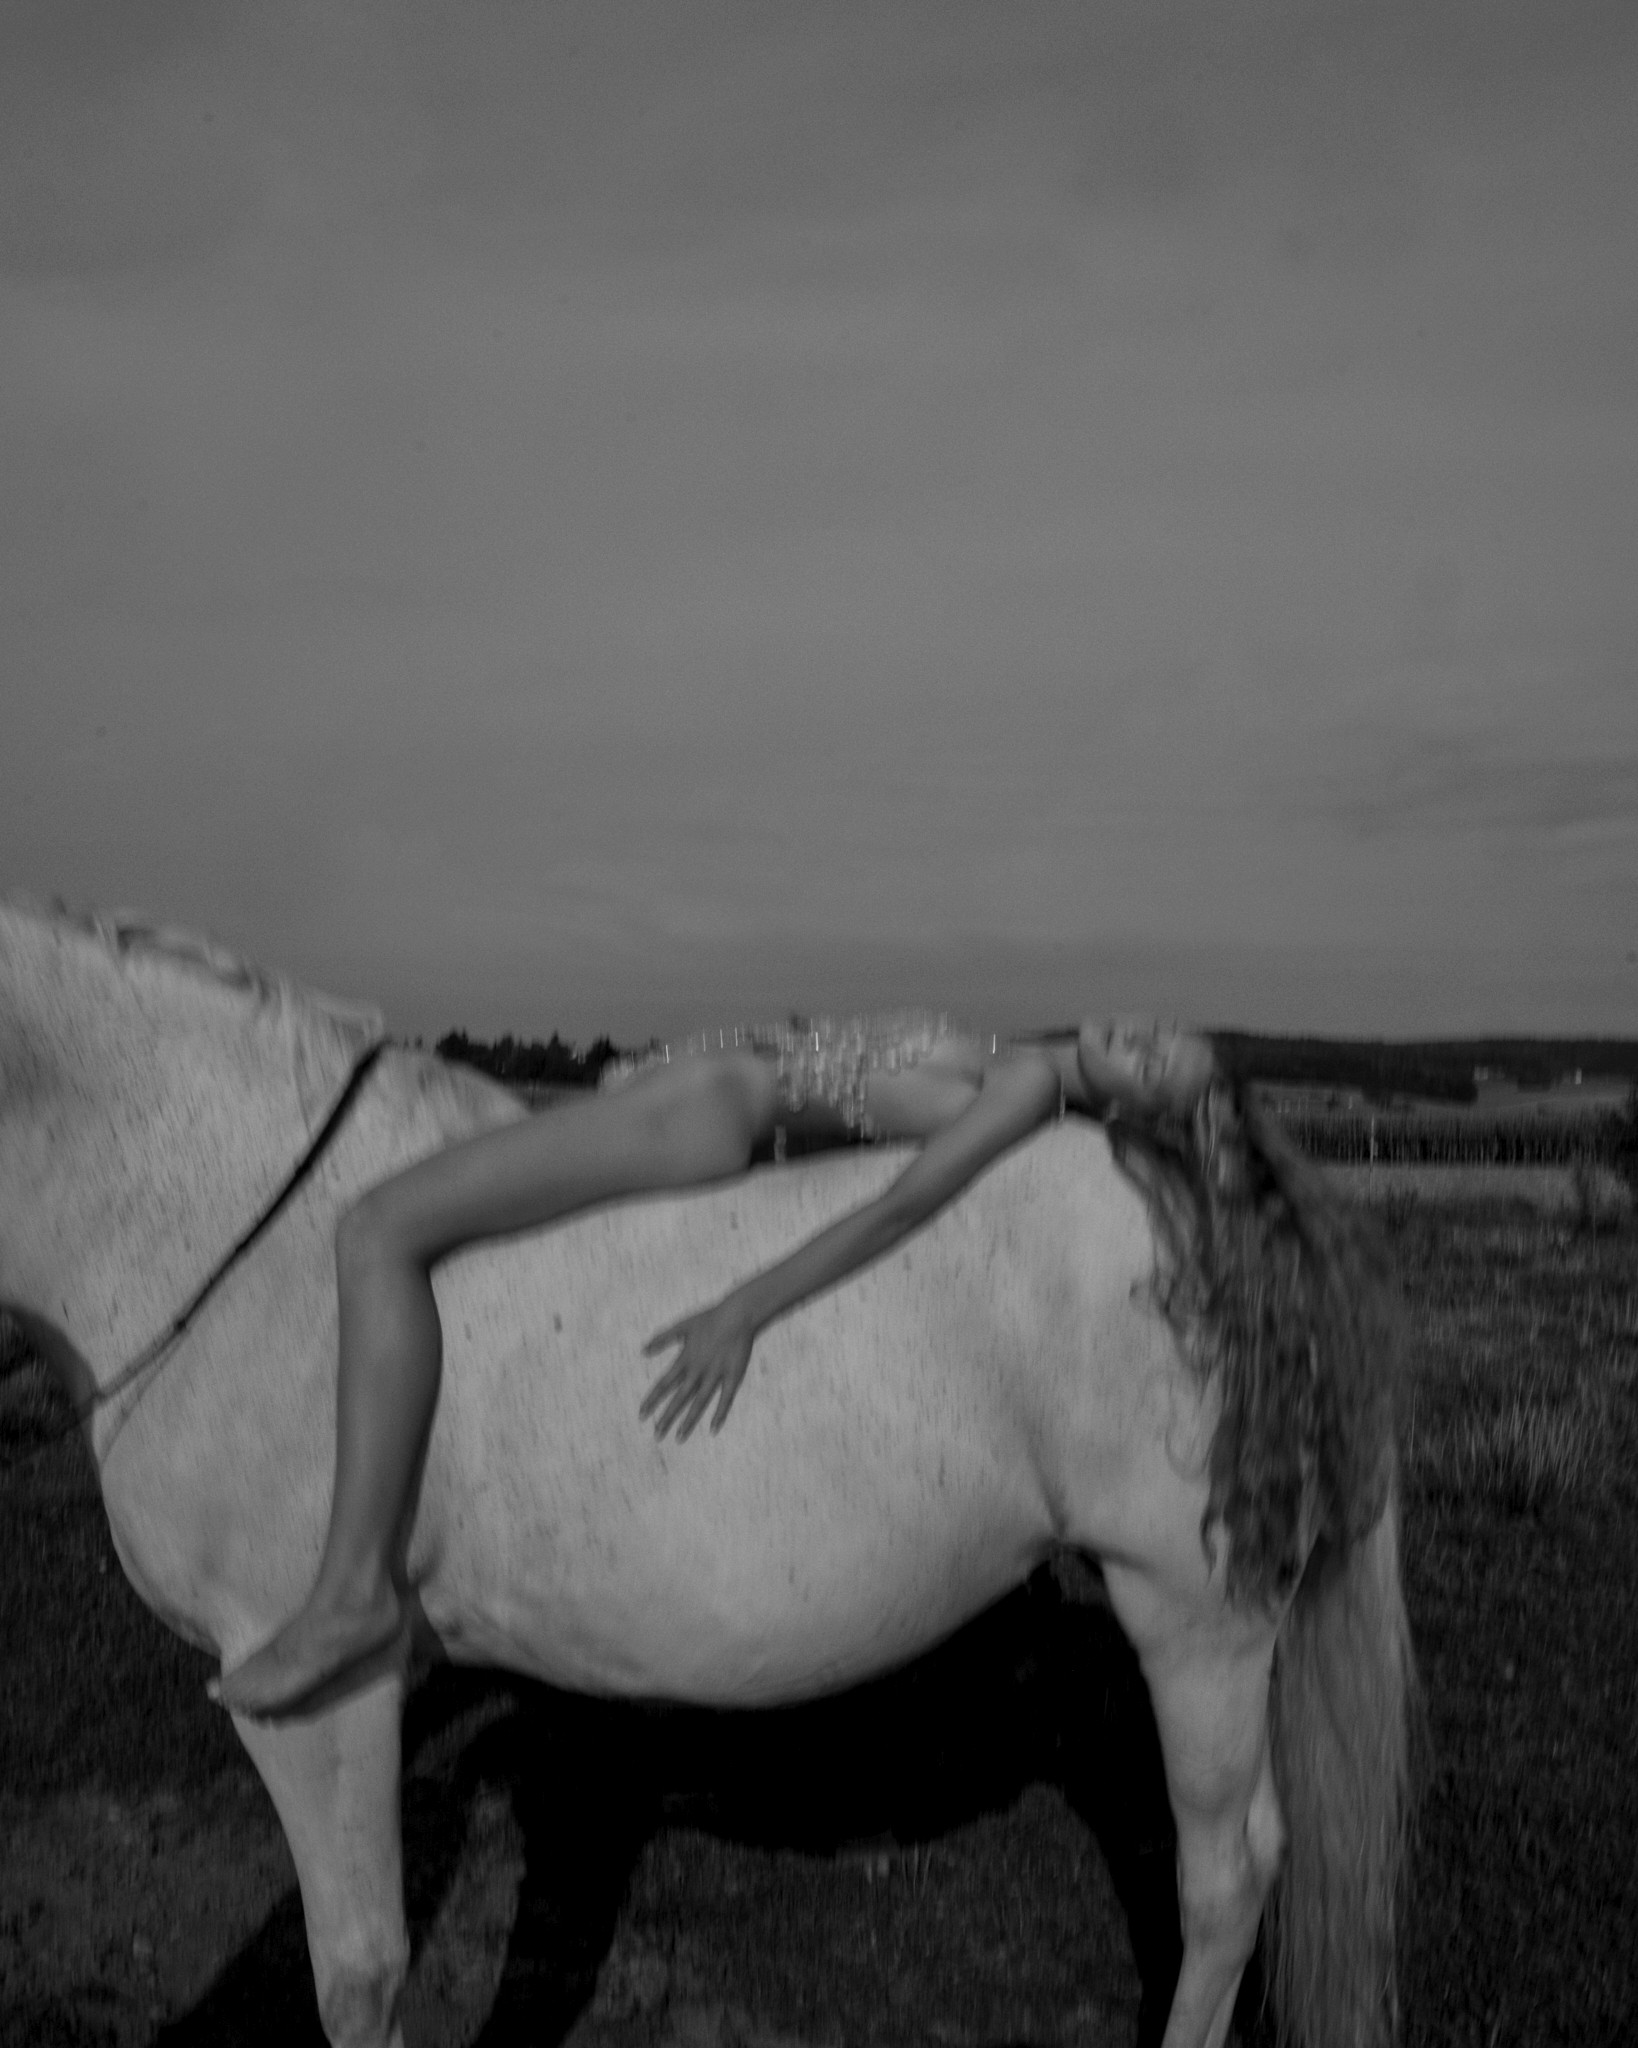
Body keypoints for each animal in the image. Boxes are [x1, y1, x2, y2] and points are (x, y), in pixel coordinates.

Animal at [0, 896, 1413, 2048]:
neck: (236, 1224)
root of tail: (1210, 1202)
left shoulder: (316, 1703)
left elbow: (357, 1973)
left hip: (1193, 1608)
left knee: (1227, 1874)